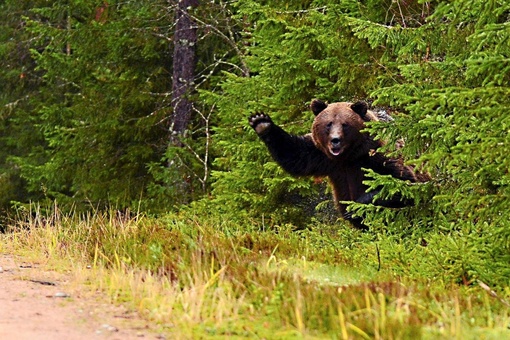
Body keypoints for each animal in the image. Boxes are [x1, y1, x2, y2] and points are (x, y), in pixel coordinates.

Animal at [249, 99, 428, 230]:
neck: (349, 156)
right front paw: (261, 122)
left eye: (345, 124)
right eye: (328, 124)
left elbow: (402, 183)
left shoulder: (377, 154)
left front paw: (356, 206)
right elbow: (294, 154)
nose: (335, 140)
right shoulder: (320, 154)